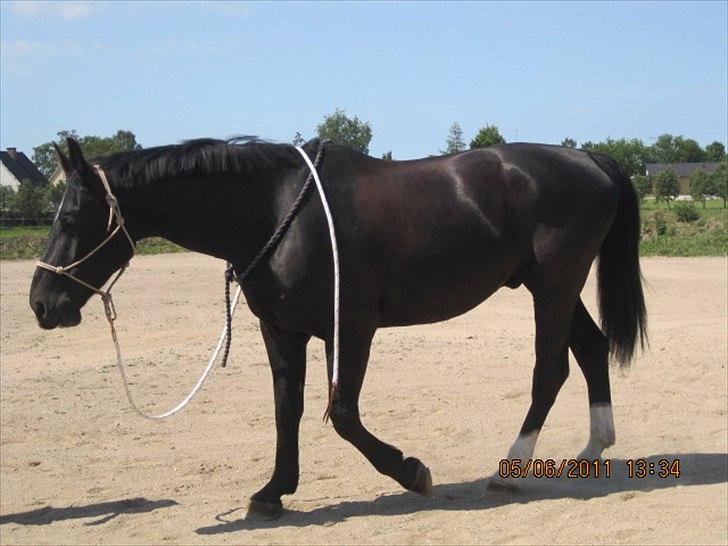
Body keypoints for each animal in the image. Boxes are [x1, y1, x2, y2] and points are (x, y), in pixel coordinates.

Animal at [28, 135, 644, 516]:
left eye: (71, 216)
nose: (40, 302)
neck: (277, 211)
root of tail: (592, 160)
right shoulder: (283, 331)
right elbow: (288, 410)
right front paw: (274, 491)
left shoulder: (351, 329)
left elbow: (343, 414)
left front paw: (410, 471)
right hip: (553, 288)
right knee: (591, 350)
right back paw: (594, 446)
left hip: (555, 285)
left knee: (551, 370)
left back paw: (511, 467)